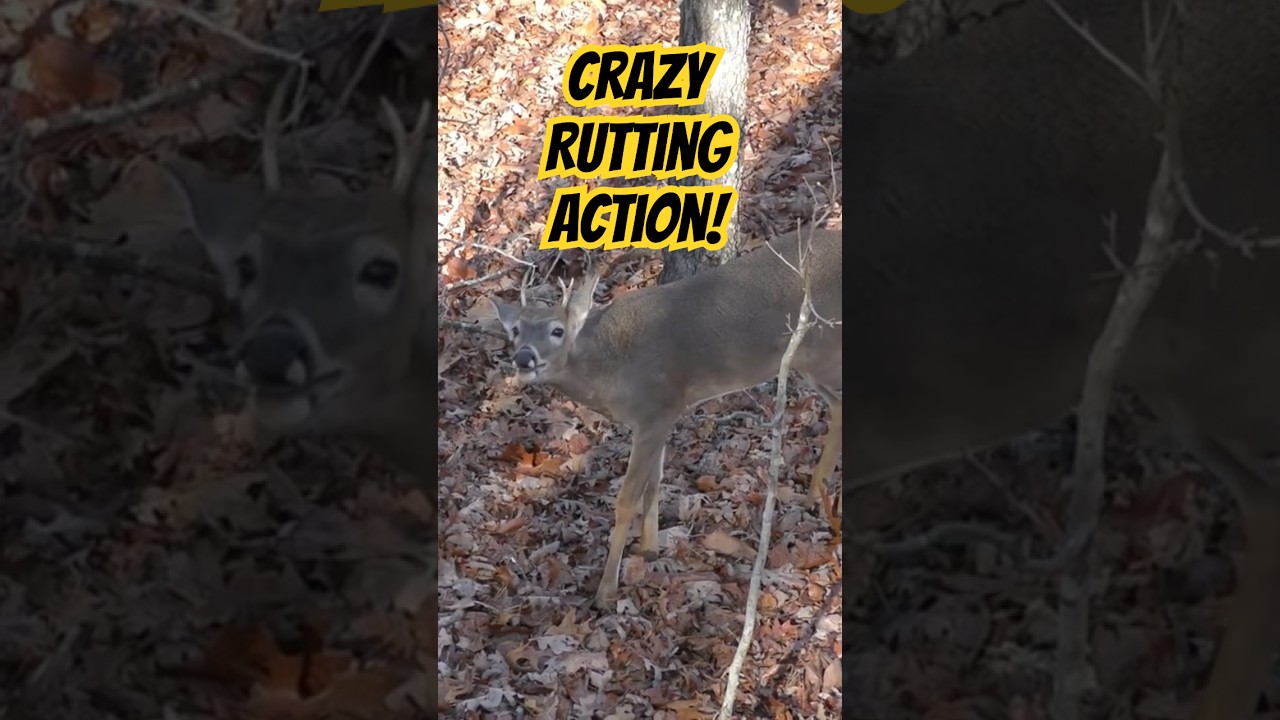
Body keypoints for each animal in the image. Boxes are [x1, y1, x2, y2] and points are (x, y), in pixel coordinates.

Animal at [489, 228, 843, 609]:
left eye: (557, 330)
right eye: (515, 331)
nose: (524, 357)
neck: (607, 369)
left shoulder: (654, 411)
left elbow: (627, 499)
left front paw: (606, 592)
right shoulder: (660, 417)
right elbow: (654, 482)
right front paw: (650, 551)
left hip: (825, 349)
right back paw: (814, 495)